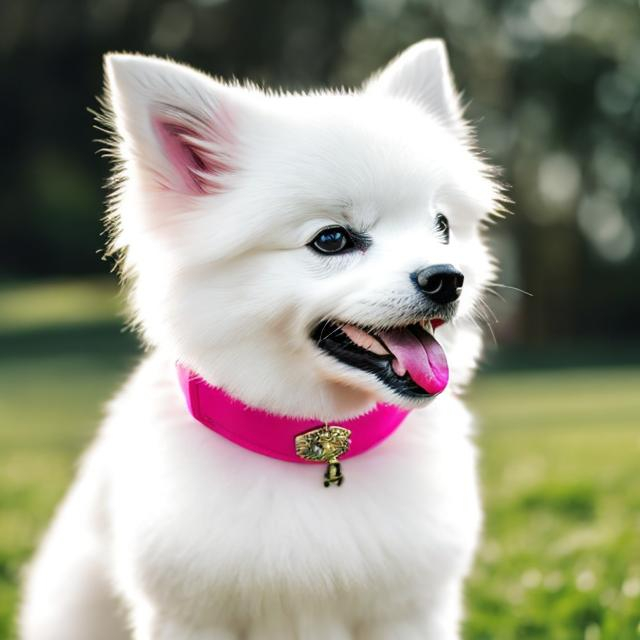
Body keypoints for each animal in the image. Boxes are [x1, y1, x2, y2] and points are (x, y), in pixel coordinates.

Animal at [18, 40, 500, 640]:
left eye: (442, 226)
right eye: (332, 239)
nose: (447, 278)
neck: (316, 446)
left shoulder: (409, 610)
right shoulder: (191, 616)